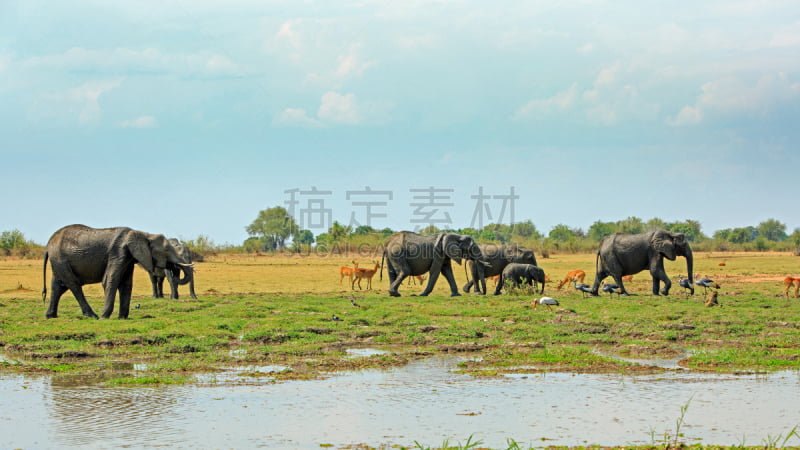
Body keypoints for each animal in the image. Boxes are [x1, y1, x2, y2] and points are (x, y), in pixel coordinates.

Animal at [43, 223, 193, 318]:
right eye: (167, 250)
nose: (173, 268)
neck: (142, 234)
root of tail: (48, 245)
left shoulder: (128, 258)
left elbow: (126, 284)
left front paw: (122, 318)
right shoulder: (118, 252)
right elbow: (110, 280)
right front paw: (104, 317)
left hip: (58, 261)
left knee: (58, 286)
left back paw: (51, 316)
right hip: (60, 259)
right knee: (73, 285)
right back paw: (93, 316)